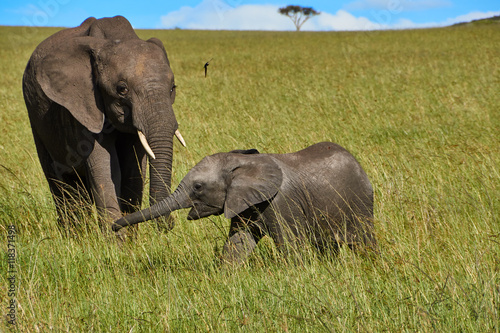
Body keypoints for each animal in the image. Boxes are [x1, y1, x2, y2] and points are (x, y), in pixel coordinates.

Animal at [22, 15, 187, 232]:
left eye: (172, 88)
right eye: (122, 89)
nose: (170, 223)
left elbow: (133, 171)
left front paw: (128, 237)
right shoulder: (83, 106)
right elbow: (106, 170)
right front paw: (115, 236)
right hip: (37, 120)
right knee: (62, 184)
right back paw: (74, 235)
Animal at [113, 143, 376, 262]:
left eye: (198, 187)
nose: (114, 226)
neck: (241, 163)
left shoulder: (280, 202)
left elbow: (291, 246)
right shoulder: (244, 203)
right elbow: (237, 243)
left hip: (361, 203)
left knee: (364, 241)